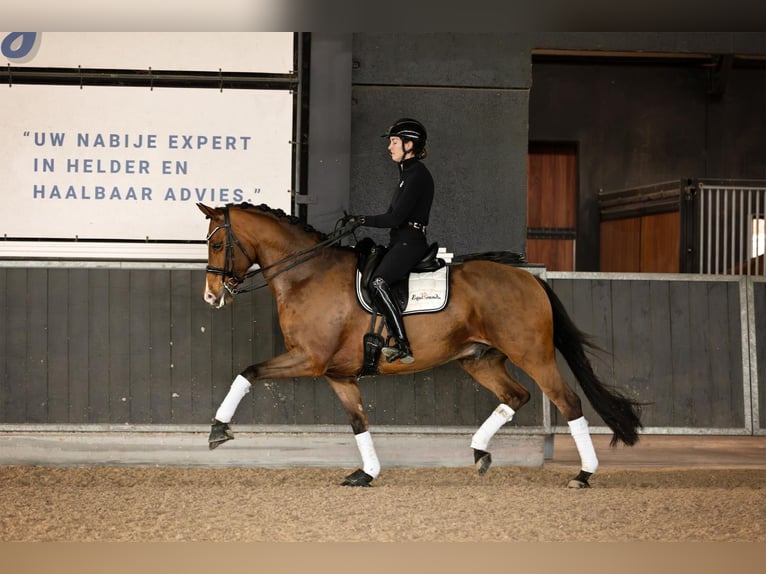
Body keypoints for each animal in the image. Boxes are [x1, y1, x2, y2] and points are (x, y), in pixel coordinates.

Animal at [197, 201, 643, 488]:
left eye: (217, 245)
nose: (211, 296)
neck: (308, 274)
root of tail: (529, 278)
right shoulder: (338, 374)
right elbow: (358, 422)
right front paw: (365, 474)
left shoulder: (309, 359)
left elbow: (248, 371)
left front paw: (218, 429)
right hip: (479, 360)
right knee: (516, 396)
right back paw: (479, 452)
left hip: (532, 354)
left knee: (568, 402)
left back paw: (583, 475)